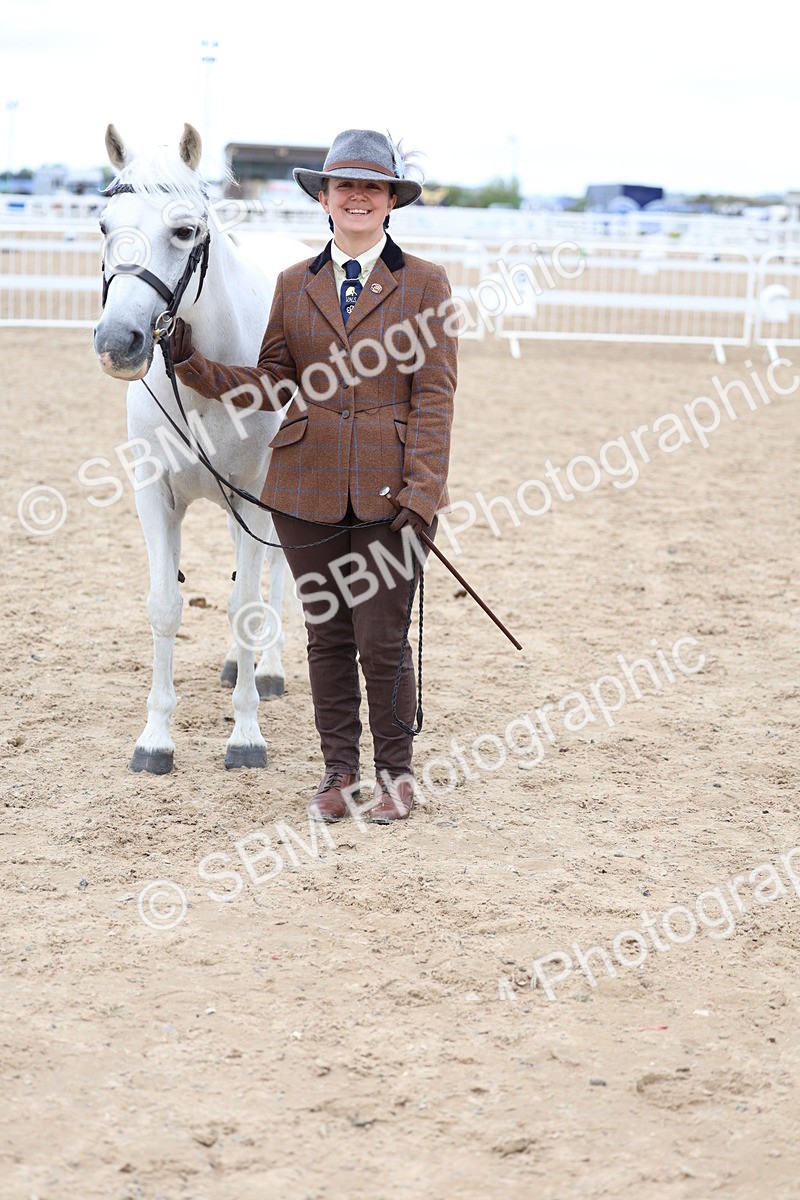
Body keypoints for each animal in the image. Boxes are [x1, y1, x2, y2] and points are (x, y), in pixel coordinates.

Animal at [93, 122, 311, 775]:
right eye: (105, 226)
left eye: (184, 230)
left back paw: (267, 671)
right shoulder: (156, 497)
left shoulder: (254, 498)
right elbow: (166, 605)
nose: (118, 342)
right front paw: (154, 739)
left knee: (274, 578)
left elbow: (247, 604)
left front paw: (246, 735)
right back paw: (240, 666)